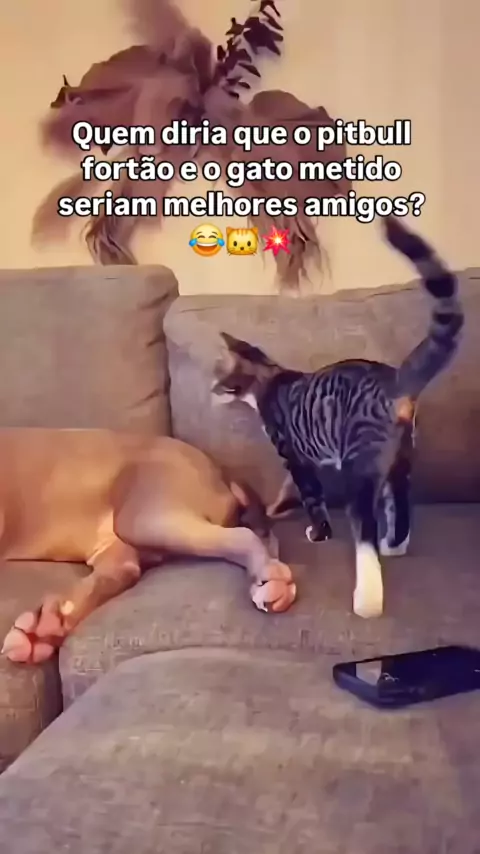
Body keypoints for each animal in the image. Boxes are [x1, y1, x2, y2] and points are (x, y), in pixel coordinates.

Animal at [0, 428, 296, 664]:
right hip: (125, 536)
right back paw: (44, 627)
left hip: (146, 513)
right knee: (123, 570)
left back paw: (271, 579)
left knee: (243, 536)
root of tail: (218, 470)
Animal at [210, 216, 464, 619]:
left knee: (366, 531)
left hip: (359, 462)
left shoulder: (293, 455)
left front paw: (319, 532)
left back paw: (367, 599)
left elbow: (312, 497)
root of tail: (394, 380)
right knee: (400, 505)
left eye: (221, 377)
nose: (211, 389)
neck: (270, 378)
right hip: (400, 455)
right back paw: (394, 545)